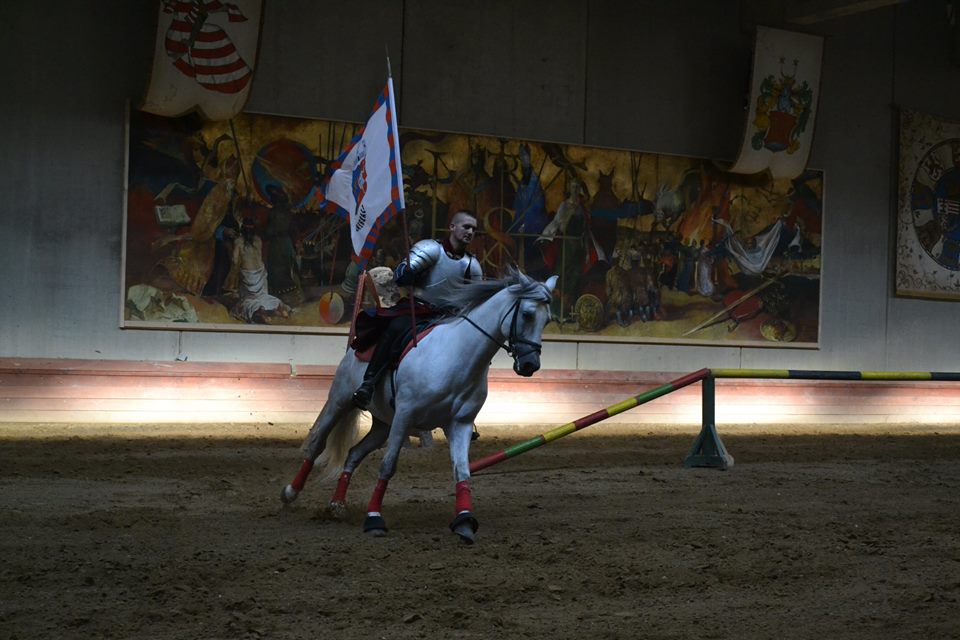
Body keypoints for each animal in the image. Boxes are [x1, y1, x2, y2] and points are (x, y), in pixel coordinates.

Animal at [280, 268, 558, 543]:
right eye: (527, 314)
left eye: (546, 320)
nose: (530, 365)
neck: (456, 356)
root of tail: (354, 349)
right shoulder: (405, 416)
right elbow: (388, 466)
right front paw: (374, 518)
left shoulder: (459, 424)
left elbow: (462, 471)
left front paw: (465, 521)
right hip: (341, 402)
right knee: (317, 443)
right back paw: (290, 492)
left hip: (383, 425)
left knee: (354, 454)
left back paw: (337, 504)